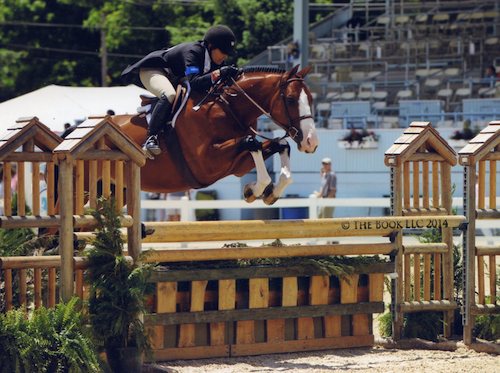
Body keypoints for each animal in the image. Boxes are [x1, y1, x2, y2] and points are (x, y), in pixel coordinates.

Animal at [111, 64, 318, 203]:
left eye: (311, 99)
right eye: (290, 99)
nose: (311, 142)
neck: (227, 107)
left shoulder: (237, 165)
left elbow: (279, 146)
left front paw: (265, 192)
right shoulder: (206, 164)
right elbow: (251, 142)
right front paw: (255, 190)